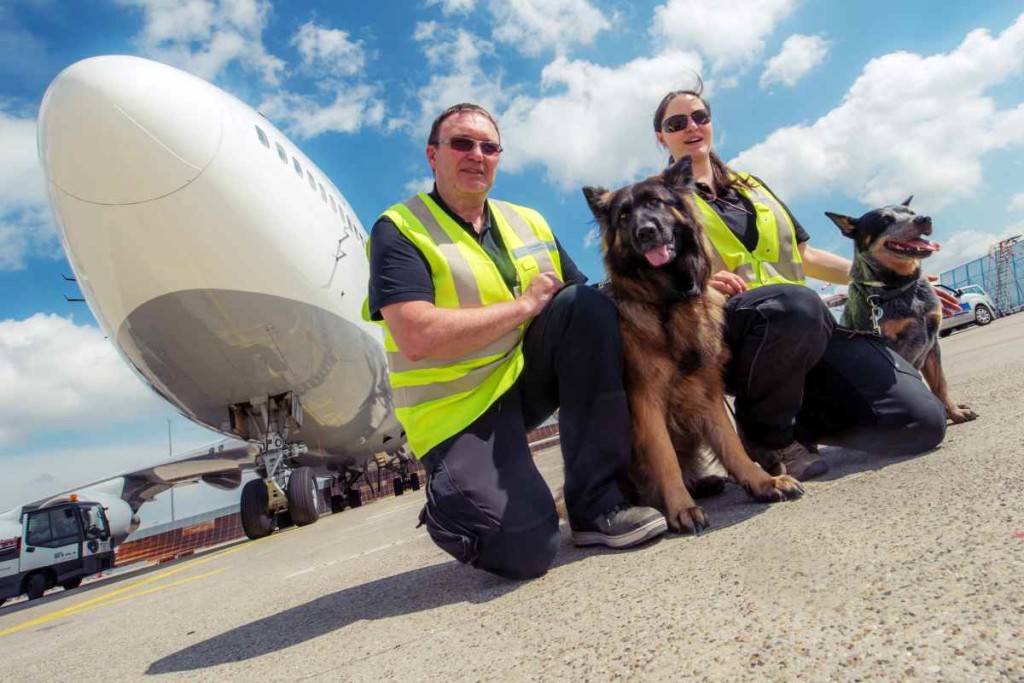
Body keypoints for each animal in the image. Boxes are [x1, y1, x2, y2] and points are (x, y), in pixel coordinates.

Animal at [581, 156, 802, 532]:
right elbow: (664, 457)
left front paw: (761, 482)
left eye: (656, 202)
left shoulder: (706, 390)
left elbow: (731, 444)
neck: (668, 301)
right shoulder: (646, 401)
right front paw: (682, 509)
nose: (645, 231)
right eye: (623, 216)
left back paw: (703, 482)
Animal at [823, 194, 974, 423]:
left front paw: (956, 413)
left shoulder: (932, 342)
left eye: (911, 212)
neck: (901, 287)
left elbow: (940, 384)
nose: (924, 218)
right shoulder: (889, 346)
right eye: (885, 220)